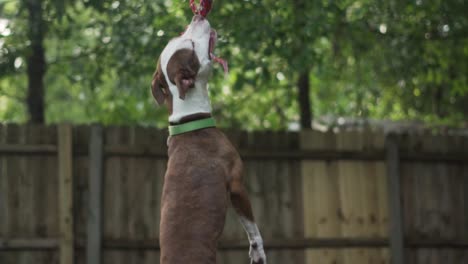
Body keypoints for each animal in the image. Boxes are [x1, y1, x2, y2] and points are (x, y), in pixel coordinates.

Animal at [151, 14, 266, 264]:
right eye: (192, 46)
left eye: (178, 37)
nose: (196, 17)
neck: (189, 118)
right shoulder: (236, 185)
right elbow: (251, 227)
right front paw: (258, 252)